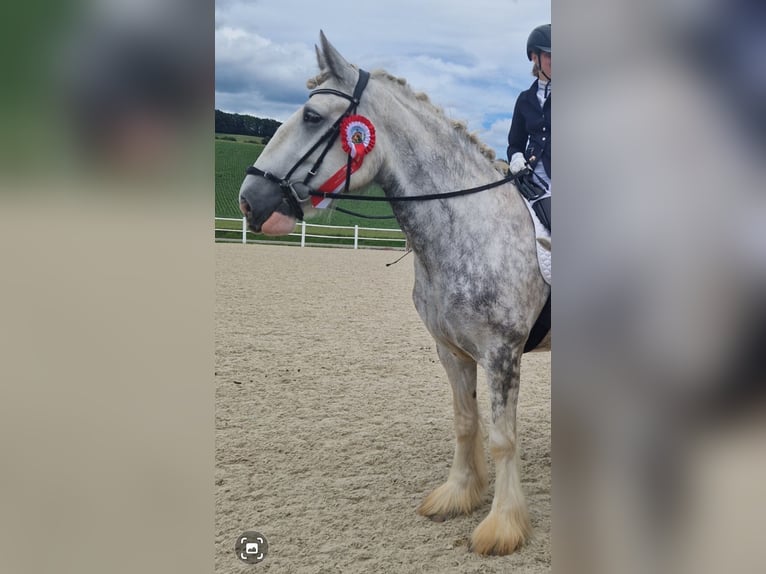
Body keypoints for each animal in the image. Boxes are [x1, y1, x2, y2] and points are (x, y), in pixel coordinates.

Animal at [237, 32, 548, 560]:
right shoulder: (451, 351)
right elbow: (465, 422)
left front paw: (502, 526)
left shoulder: (501, 352)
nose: (248, 200)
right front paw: (457, 495)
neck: (470, 225)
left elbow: (502, 438)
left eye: (312, 116)